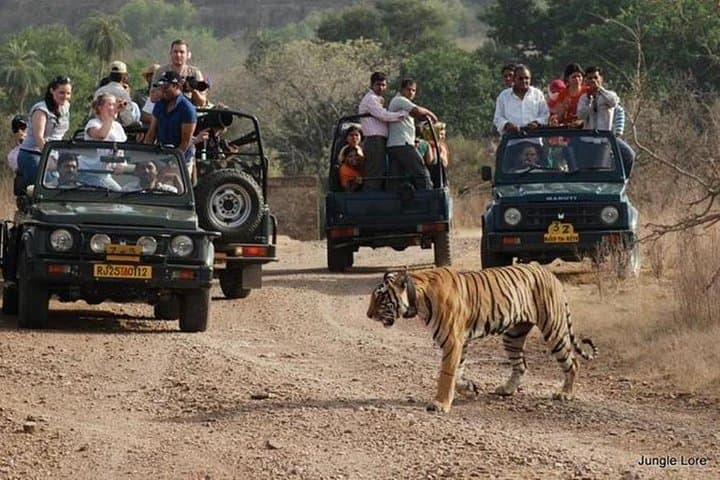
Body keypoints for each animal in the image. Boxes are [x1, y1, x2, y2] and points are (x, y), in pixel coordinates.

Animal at [366, 263, 597, 413]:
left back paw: (565, 394)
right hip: (513, 335)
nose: (368, 315)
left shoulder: (453, 340)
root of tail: (550, 274)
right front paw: (470, 389)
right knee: (521, 365)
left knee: (572, 362)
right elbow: (457, 373)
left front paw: (440, 404)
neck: (418, 297)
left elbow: (446, 374)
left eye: (380, 297)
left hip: (553, 329)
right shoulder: (461, 342)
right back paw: (507, 389)